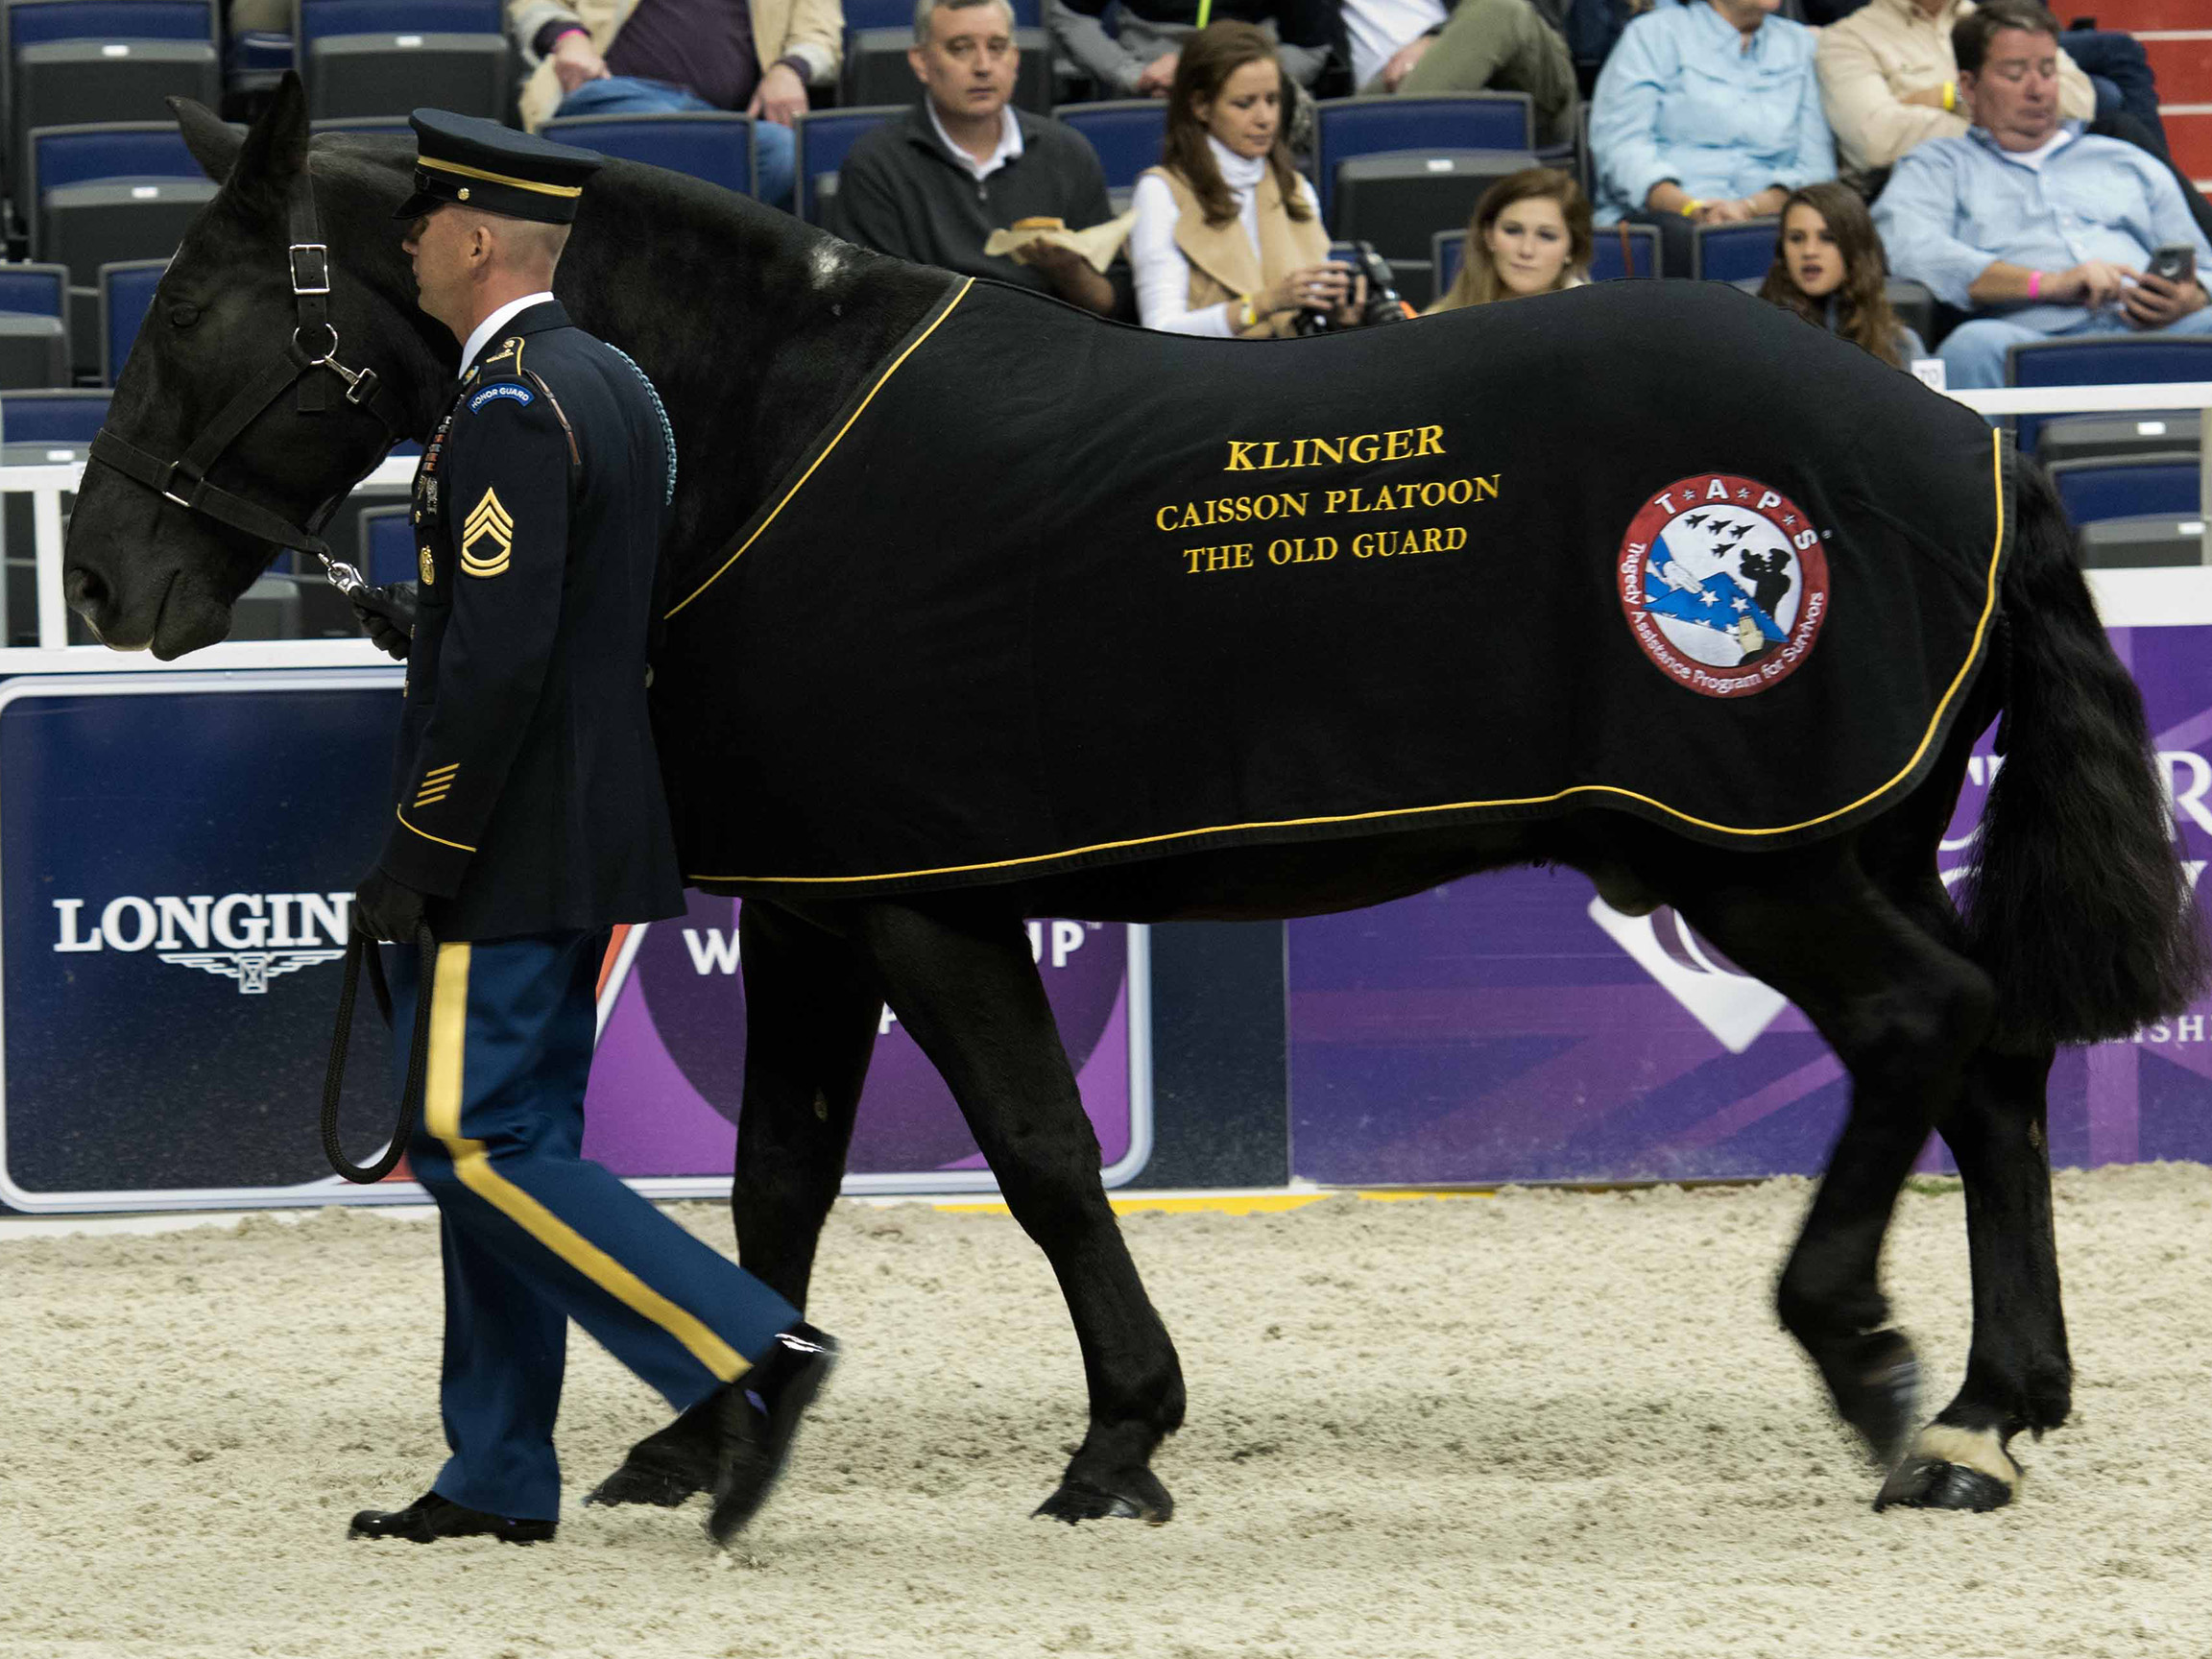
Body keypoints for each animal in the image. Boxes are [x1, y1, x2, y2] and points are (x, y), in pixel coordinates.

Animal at [60, 81, 2202, 1530]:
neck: (755, 430)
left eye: (190, 316)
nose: (97, 583)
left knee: (1929, 1023)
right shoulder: (822, 897)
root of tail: (1973, 455)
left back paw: (1870, 1362)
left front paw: (1115, 1441)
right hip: (1838, 842)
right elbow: (781, 1176)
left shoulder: (920, 899)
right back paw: (1997, 1403)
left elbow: (1036, 1153)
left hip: (1745, 859)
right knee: (1994, 1057)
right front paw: (707, 1429)